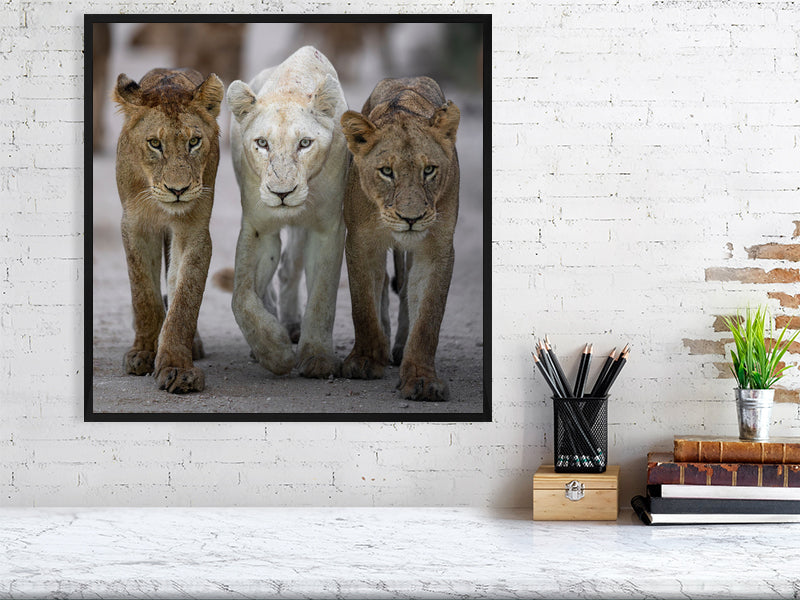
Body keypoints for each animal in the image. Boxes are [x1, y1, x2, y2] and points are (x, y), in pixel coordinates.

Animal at [113, 68, 223, 393]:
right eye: (154, 144)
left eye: (194, 141)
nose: (178, 190)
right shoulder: (136, 226)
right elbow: (144, 295)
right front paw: (144, 353)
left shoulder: (193, 230)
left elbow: (184, 299)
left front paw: (177, 367)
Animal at [226, 46, 348, 378]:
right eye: (262, 143)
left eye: (304, 143)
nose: (282, 194)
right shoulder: (258, 228)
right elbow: (241, 298)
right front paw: (275, 352)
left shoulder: (327, 229)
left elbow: (322, 295)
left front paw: (317, 357)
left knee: (290, 267)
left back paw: (293, 324)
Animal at [339, 76, 460, 402]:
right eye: (386, 172)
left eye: (429, 170)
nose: (411, 219)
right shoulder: (360, 241)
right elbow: (362, 305)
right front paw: (365, 360)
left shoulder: (437, 248)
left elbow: (428, 317)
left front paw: (421, 379)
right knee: (382, 286)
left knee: (405, 292)